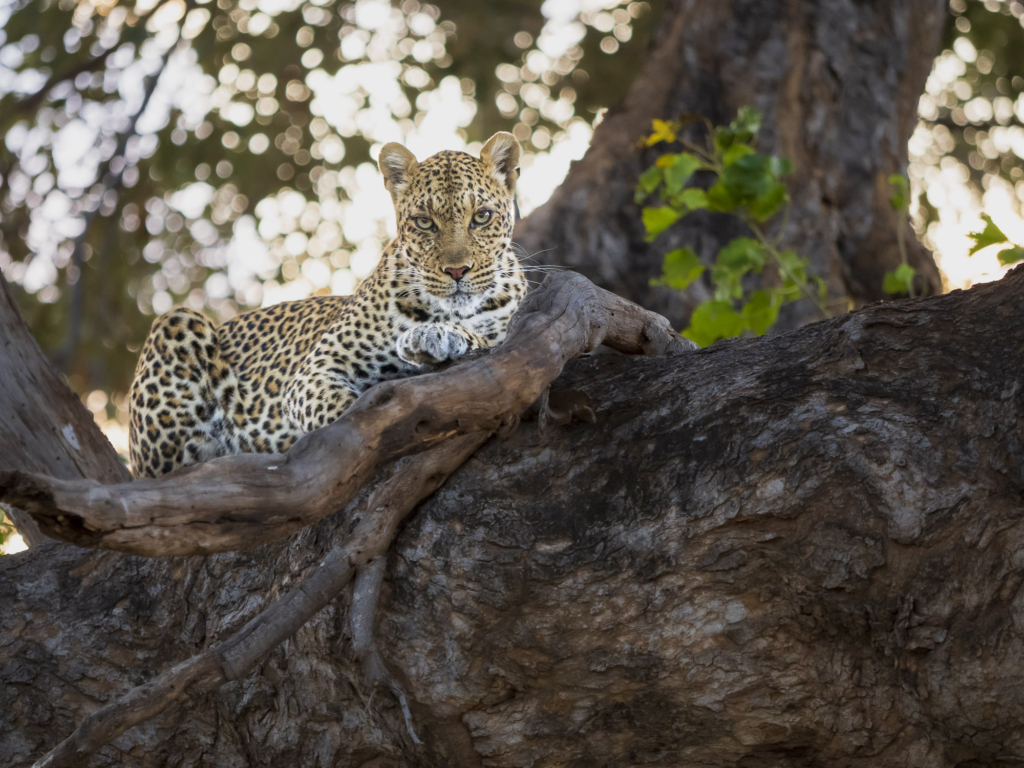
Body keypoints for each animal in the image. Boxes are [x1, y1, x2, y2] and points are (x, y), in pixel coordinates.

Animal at [129, 133, 528, 481]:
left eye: (482, 217)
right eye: (424, 222)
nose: (457, 271)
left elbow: (485, 338)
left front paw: (433, 337)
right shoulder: (316, 370)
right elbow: (343, 413)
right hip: (178, 322)